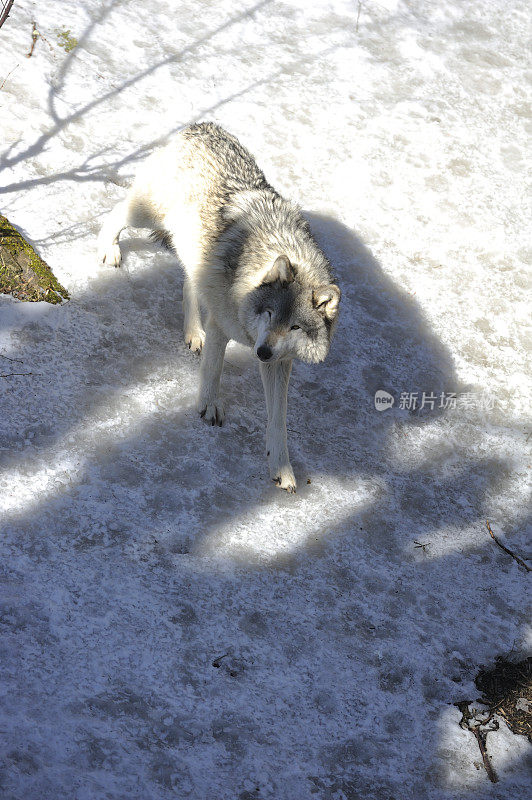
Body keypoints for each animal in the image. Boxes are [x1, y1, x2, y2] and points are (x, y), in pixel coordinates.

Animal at [97, 123, 338, 494]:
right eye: (269, 313)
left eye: (295, 326)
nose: (262, 352)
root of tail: (203, 126)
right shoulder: (223, 327)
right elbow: (213, 369)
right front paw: (209, 407)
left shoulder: (279, 362)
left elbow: (279, 419)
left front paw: (282, 468)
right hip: (146, 213)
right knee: (115, 213)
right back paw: (109, 249)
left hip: (195, 256)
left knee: (188, 286)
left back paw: (192, 333)